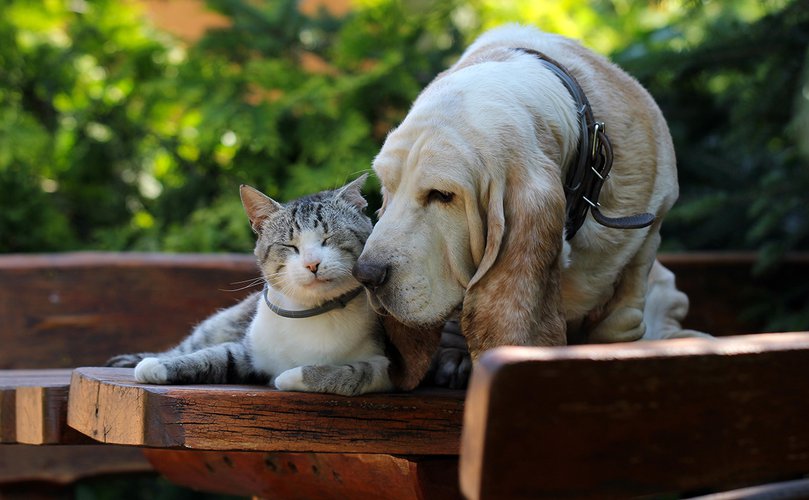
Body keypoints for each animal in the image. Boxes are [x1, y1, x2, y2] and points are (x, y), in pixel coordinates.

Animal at [107, 174, 394, 396]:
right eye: (289, 245)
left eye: (329, 238)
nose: (312, 264)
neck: (311, 311)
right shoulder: (247, 351)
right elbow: (213, 356)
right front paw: (155, 366)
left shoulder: (385, 368)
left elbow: (351, 374)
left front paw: (289, 376)